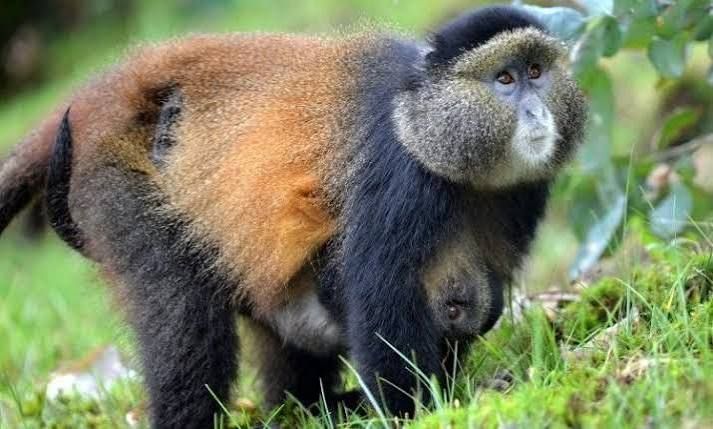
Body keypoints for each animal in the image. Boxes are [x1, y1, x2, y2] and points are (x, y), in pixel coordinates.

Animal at [0, 5, 586, 428]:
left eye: (537, 72)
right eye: (504, 79)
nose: (536, 112)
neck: (425, 122)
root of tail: (106, 92)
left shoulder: (521, 194)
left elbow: (485, 292)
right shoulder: (400, 178)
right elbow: (381, 297)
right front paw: (418, 411)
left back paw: (308, 407)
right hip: (117, 183)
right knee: (185, 326)